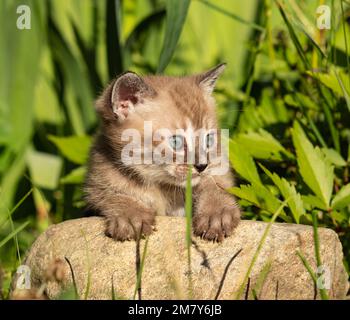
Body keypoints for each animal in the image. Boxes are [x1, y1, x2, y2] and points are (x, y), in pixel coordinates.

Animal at [84, 63, 241, 241]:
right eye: (176, 142)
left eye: (208, 139)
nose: (202, 166)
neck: (162, 186)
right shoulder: (96, 182)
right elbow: (112, 194)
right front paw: (132, 216)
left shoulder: (217, 166)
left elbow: (214, 185)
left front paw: (217, 211)